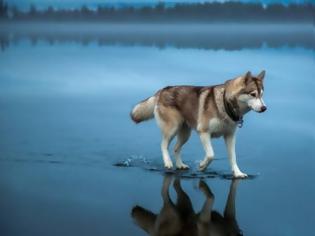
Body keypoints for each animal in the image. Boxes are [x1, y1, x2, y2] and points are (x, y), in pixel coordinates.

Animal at [131, 71, 266, 178]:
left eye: (262, 95)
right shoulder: (204, 133)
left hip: (185, 134)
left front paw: (238, 173)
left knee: (176, 148)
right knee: (163, 145)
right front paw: (202, 166)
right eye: (253, 94)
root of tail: (162, 90)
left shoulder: (230, 136)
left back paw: (180, 165)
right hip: (172, 128)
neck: (225, 104)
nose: (264, 108)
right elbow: (211, 155)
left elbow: (233, 157)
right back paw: (168, 163)